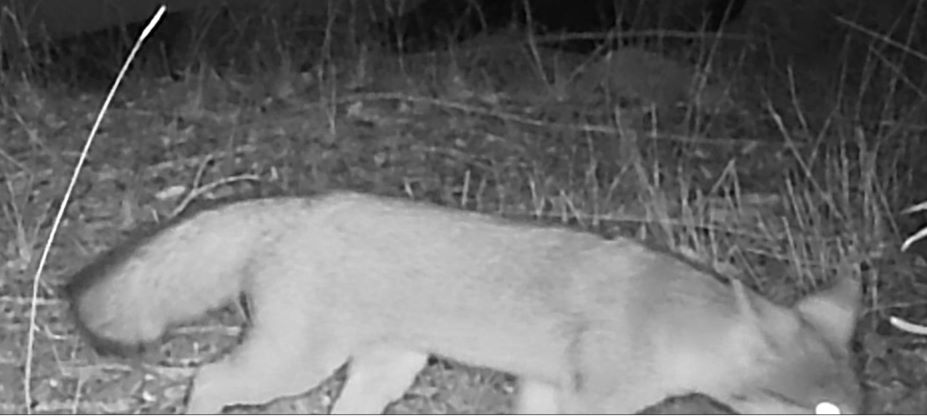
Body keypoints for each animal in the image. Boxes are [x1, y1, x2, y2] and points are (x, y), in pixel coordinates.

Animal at [66, 190, 862, 414]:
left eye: (856, 409)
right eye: (824, 412)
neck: (669, 317)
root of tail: (299, 204)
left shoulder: (541, 387)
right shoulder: (593, 402)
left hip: (388, 370)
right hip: (293, 366)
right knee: (208, 380)